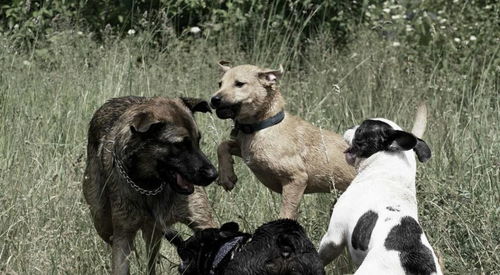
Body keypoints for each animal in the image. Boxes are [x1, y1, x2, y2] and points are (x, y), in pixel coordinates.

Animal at [83, 96, 218, 274]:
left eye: (198, 140)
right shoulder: (123, 237)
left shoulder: (202, 221)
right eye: (179, 145)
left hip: (153, 233)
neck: (150, 186)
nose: (213, 174)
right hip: (102, 221)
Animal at [211, 62, 356, 220]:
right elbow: (222, 146)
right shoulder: (244, 150)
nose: (214, 99)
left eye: (239, 84)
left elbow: (286, 214)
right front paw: (226, 176)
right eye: (220, 83)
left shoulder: (296, 179)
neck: (263, 126)